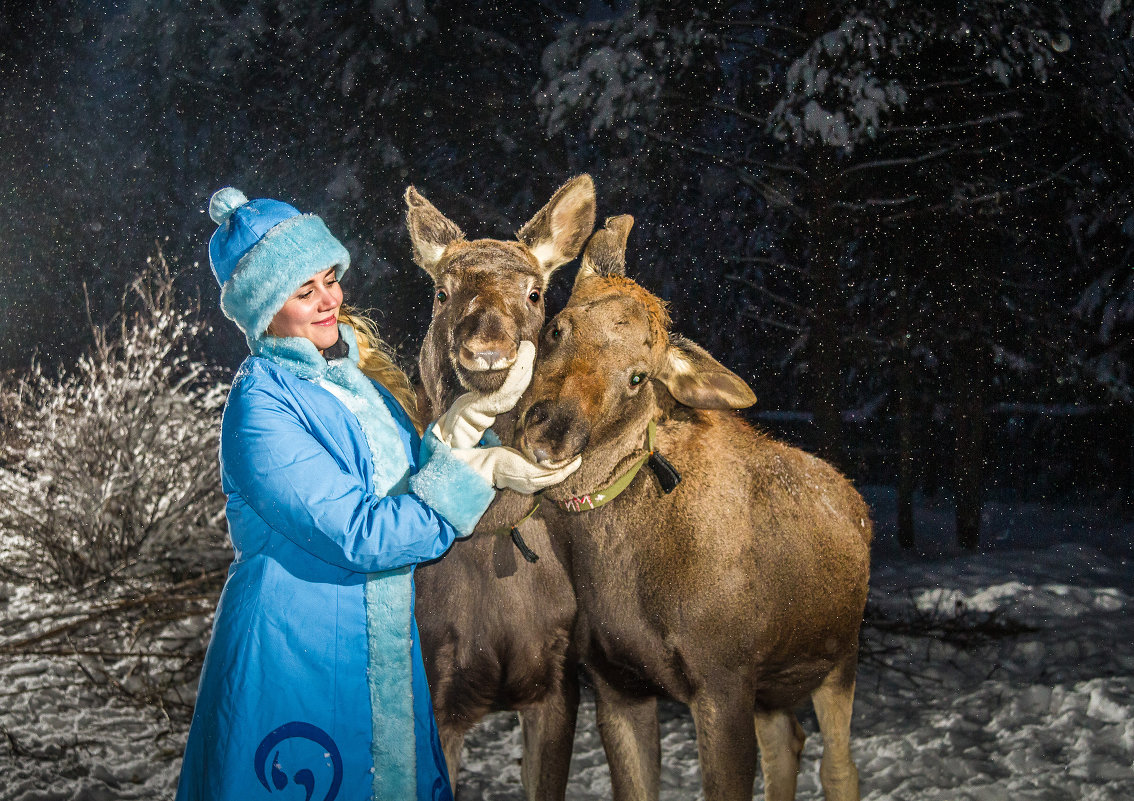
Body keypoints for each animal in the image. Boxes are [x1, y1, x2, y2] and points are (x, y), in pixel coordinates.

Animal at [519, 212, 870, 798]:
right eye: (556, 328)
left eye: (638, 376)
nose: (551, 432)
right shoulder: (616, 682)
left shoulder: (723, 678)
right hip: (772, 688)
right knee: (788, 741)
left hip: (838, 657)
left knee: (838, 765)